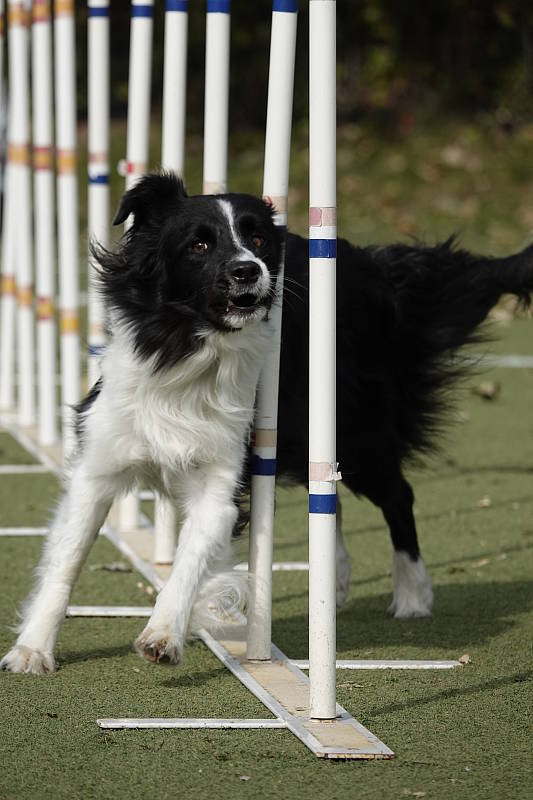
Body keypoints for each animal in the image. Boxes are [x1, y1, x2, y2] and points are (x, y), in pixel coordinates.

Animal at [2, 172, 532, 674]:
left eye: (257, 239)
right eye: (198, 244)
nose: (248, 270)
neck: (189, 348)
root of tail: (376, 267)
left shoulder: (220, 481)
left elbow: (190, 560)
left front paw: (164, 635)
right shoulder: (100, 462)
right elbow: (67, 559)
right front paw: (33, 650)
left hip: (354, 430)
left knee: (396, 496)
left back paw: (413, 594)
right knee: (334, 498)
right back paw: (336, 585)